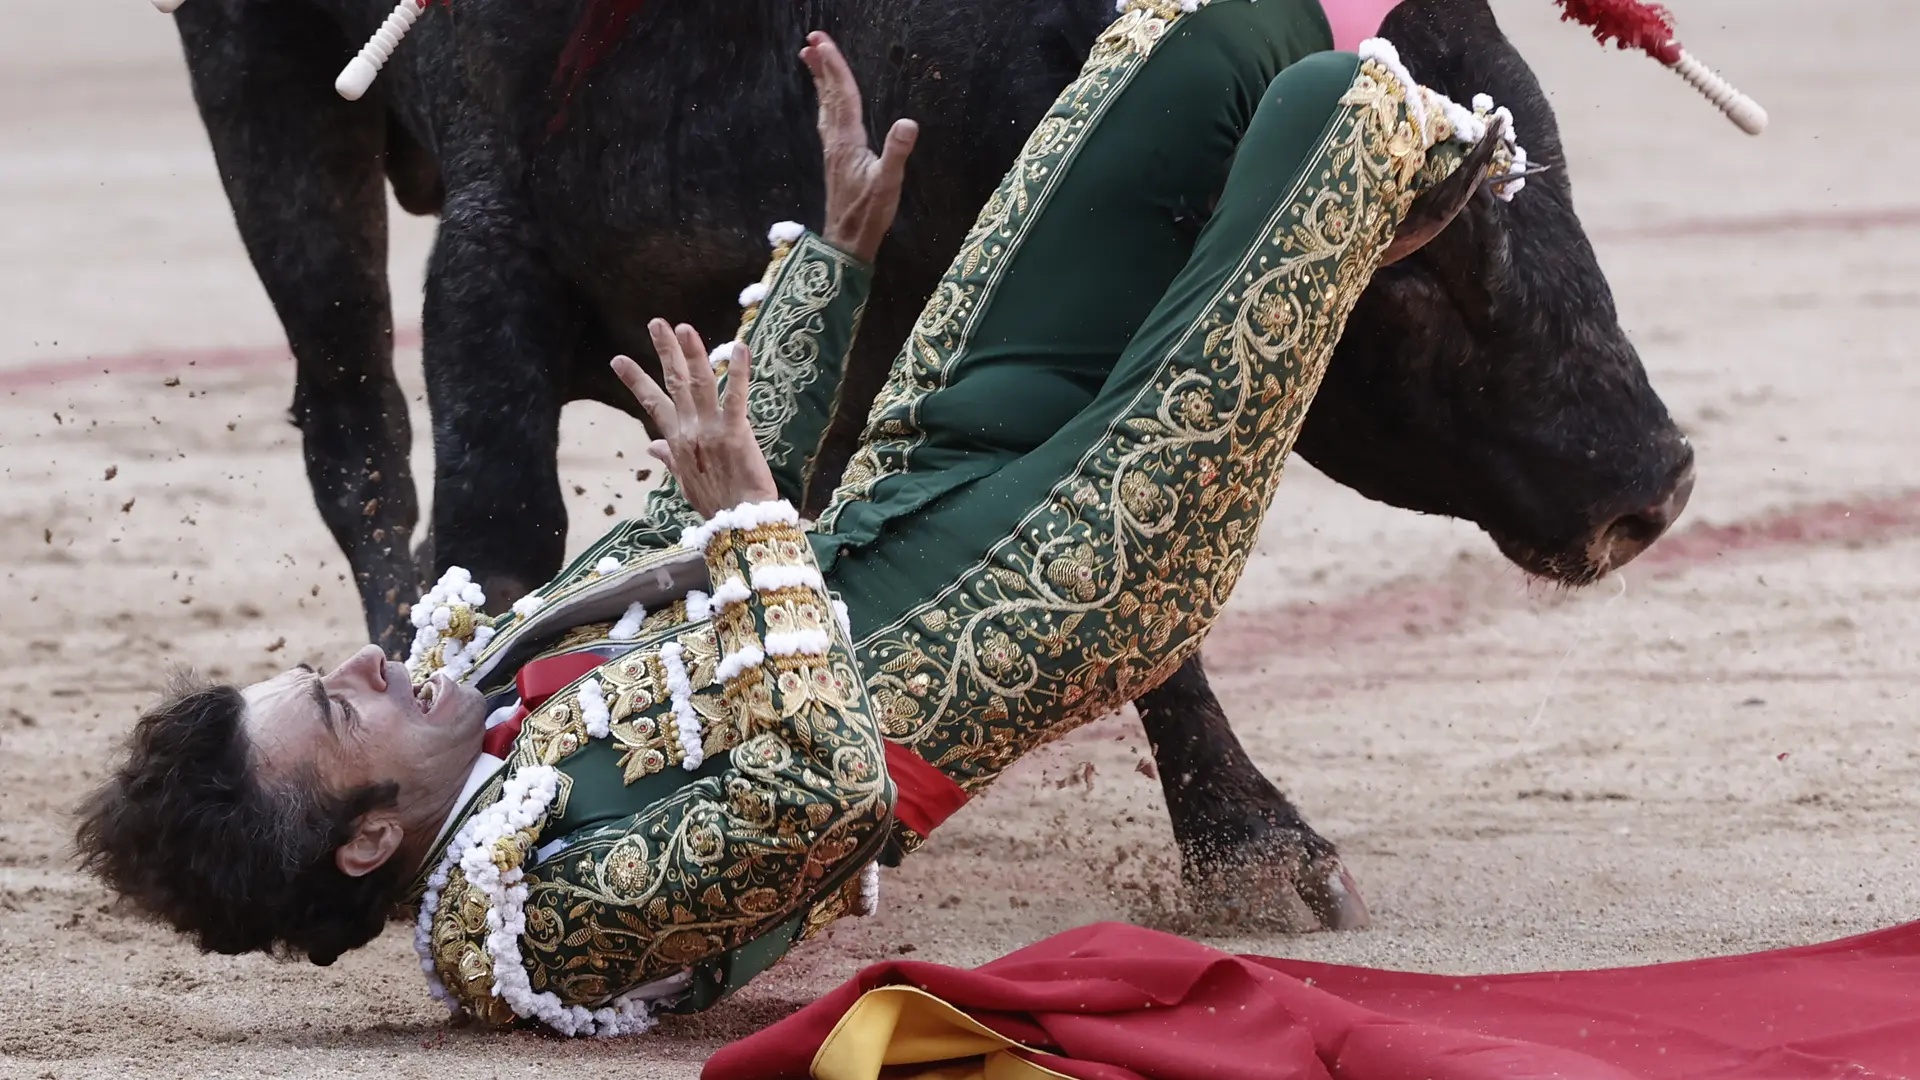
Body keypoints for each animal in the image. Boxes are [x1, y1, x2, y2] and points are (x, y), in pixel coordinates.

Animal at [168, 0, 1697, 926]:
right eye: (1428, 268)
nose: (1654, 481)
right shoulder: (492, 262)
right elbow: (492, 521)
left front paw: (1254, 851)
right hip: (266, 98)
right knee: (353, 416)